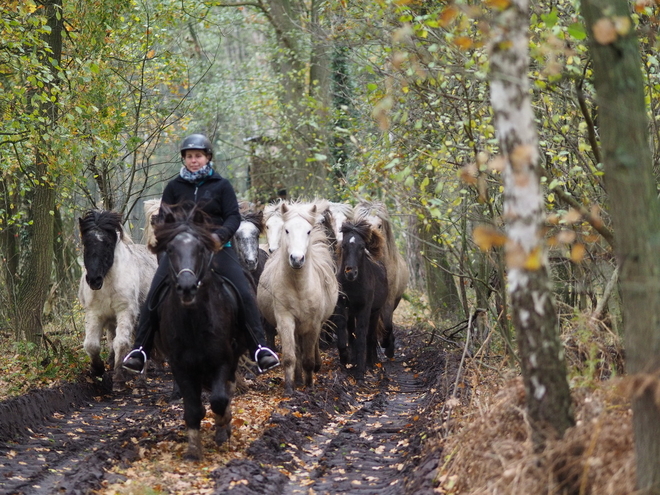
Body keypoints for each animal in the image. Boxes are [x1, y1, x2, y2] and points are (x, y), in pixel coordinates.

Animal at [78, 207, 157, 390]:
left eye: (107, 243)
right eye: (86, 243)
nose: (94, 280)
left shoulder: (125, 311)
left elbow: (120, 342)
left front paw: (119, 378)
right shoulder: (95, 313)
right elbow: (92, 344)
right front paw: (98, 369)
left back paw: (141, 379)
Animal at [150, 204, 248, 462]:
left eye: (201, 248)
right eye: (170, 249)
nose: (187, 287)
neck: (193, 322)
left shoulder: (222, 359)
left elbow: (220, 400)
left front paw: (224, 428)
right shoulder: (180, 365)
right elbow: (193, 409)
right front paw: (194, 451)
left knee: (228, 388)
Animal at [256, 202, 338, 396]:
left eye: (308, 231)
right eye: (287, 230)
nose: (297, 258)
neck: (299, 287)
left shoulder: (313, 323)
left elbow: (308, 357)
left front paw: (310, 387)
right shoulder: (285, 320)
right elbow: (290, 356)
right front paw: (289, 389)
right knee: (298, 350)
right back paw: (299, 378)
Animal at [338, 221, 390, 380]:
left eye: (362, 246)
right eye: (344, 245)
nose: (350, 272)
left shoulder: (365, 309)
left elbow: (361, 336)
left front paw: (360, 371)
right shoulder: (342, 305)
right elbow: (344, 333)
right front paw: (346, 360)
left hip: (375, 312)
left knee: (370, 336)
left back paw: (371, 362)